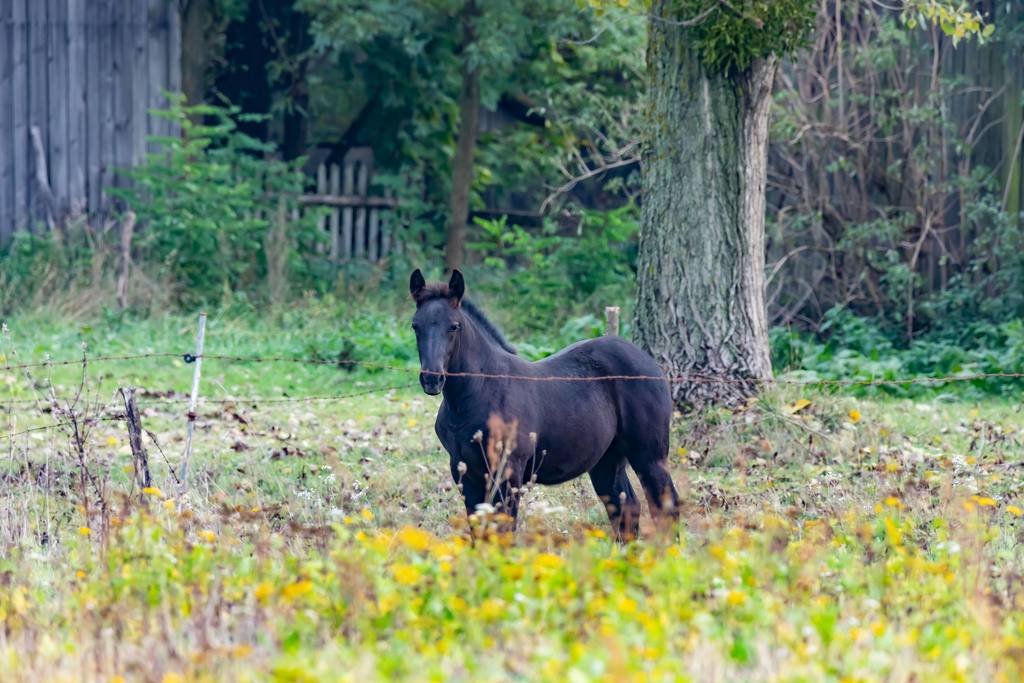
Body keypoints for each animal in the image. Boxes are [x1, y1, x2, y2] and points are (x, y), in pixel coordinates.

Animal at [407, 266, 679, 540]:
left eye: (454, 326)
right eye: (415, 326)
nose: (431, 379)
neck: (478, 392)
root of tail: (650, 362)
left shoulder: (509, 472)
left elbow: (504, 530)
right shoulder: (465, 471)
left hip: (648, 454)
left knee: (666, 505)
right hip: (607, 459)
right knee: (626, 508)